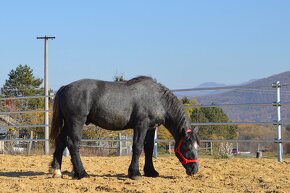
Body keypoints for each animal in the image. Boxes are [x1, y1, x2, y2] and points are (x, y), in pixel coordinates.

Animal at [49, 75, 199, 179]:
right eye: (187, 148)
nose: (194, 170)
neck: (158, 99)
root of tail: (65, 87)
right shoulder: (141, 125)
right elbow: (137, 147)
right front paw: (134, 173)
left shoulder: (151, 128)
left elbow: (149, 148)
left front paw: (151, 171)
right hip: (76, 122)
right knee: (73, 144)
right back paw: (82, 173)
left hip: (67, 123)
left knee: (61, 142)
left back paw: (57, 171)